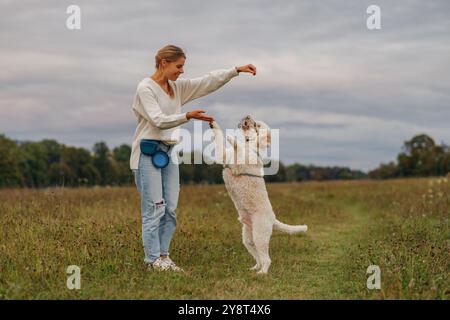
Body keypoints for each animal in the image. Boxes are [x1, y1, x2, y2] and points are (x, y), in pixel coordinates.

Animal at [209, 116, 308, 274]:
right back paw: (255, 268)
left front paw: (232, 139)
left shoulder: (238, 165)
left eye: (257, 125)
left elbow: (237, 148)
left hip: (260, 235)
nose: (247, 116)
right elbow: (219, 139)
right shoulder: (223, 156)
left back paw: (262, 273)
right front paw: (214, 125)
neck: (249, 144)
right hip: (248, 239)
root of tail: (273, 219)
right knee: (259, 258)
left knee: (267, 259)